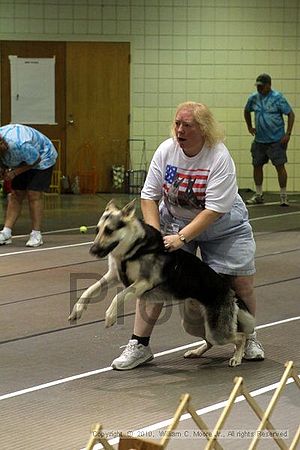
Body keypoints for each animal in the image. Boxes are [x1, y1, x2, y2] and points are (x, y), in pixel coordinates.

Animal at [69, 200, 254, 366]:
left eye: (109, 230)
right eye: (97, 230)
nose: (92, 250)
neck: (135, 248)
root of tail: (229, 291)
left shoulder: (143, 282)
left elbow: (119, 296)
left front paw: (110, 316)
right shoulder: (113, 276)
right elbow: (89, 290)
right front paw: (78, 310)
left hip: (217, 332)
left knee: (240, 336)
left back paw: (237, 357)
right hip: (194, 325)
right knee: (209, 341)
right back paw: (196, 352)